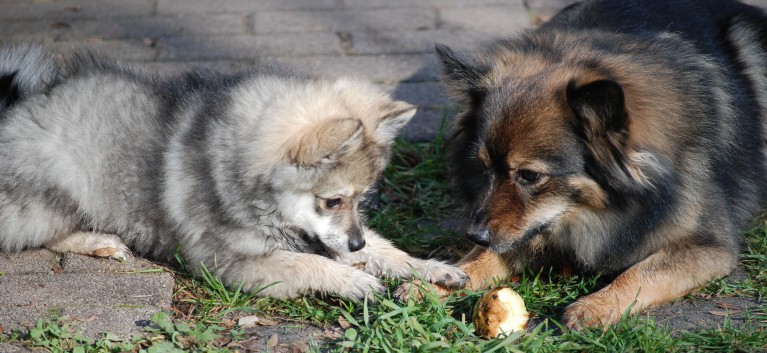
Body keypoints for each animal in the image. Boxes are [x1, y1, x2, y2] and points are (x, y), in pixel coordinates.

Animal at [438, 0, 767, 328]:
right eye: (483, 167)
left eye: (529, 175)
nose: (475, 236)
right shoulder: (531, 229)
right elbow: (482, 259)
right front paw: (438, 278)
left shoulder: (708, 246)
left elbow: (640, 272)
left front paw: (595, 306)